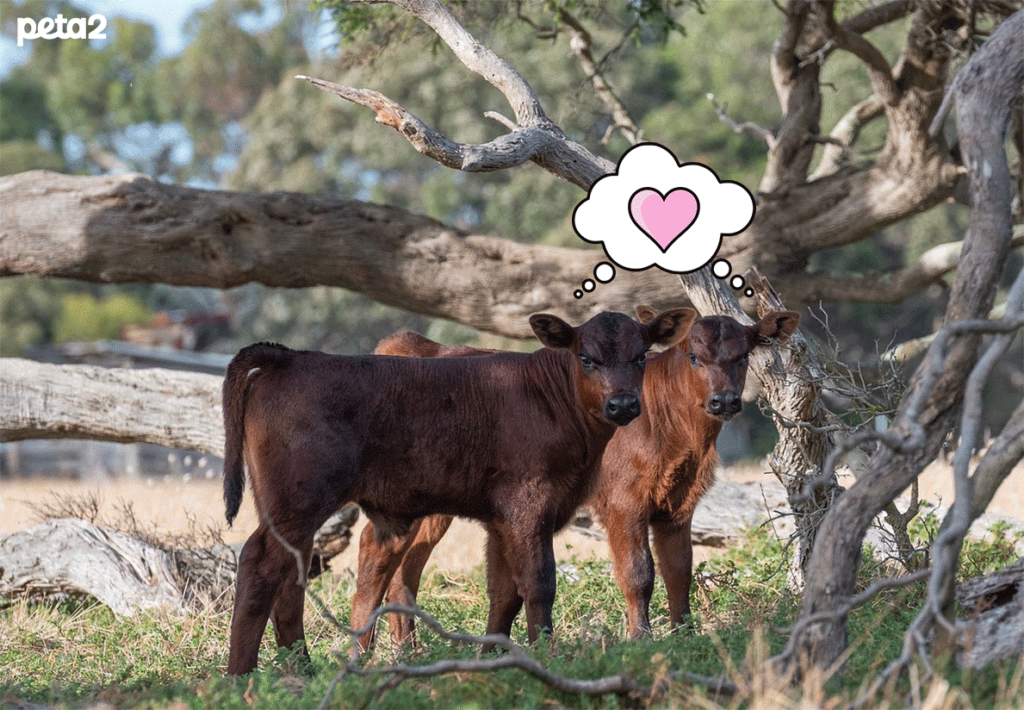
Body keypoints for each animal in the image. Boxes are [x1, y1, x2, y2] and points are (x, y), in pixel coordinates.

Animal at [220, 307, 692, 672]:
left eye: (641, 356)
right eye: (587, 357)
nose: (623, 404)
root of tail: (292, 357)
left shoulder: (501, 520)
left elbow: (504, 592)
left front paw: (493, 660)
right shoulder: (528, 507)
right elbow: (538, 583)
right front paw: (546, 654)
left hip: (292, 510)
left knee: (291, 576)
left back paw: (301, 668)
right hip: (298, 500)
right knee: (260, 564)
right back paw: (242, 676)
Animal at [352, 305, 798, 647]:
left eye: (744, 357)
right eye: (694, 357)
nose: (724, 401)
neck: (681, 438)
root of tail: (413, 344)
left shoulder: (678, 506)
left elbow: (680, 571)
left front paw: (685, 637)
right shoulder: (623, 501)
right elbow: (638, 573)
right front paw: (641, 640)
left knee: (405, 569)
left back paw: (407, 652)